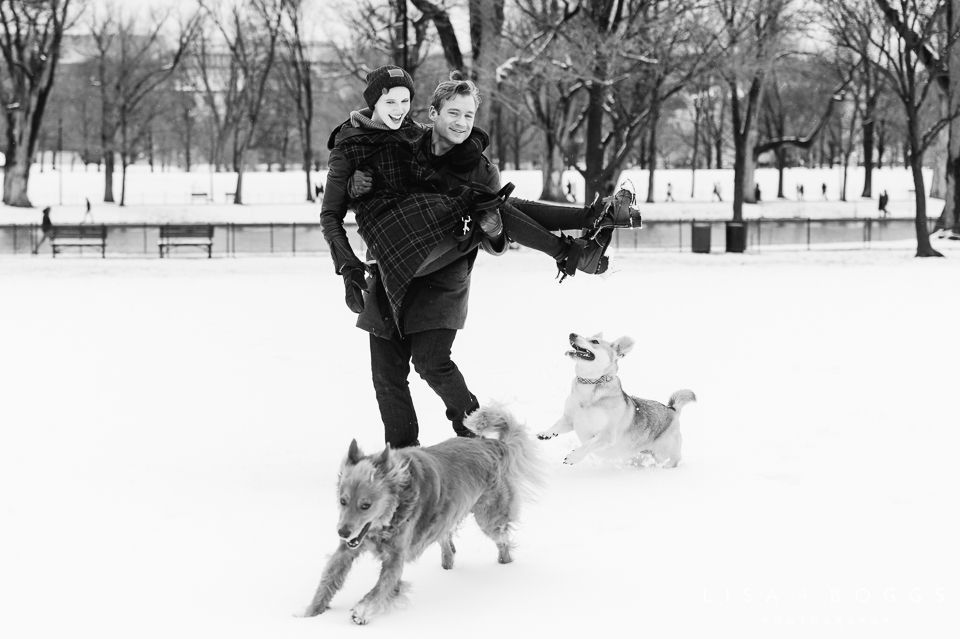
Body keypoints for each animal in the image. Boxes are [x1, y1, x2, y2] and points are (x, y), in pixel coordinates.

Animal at [536, 336, 692, 464]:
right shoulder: (569, 419)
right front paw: (546, 433)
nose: (572, 334)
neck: (590, 386)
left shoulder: (606, 435)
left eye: (594, 341)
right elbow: (557, 425)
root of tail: (673, 410)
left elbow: (588, 444)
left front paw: (574, 457)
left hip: (664, 456)